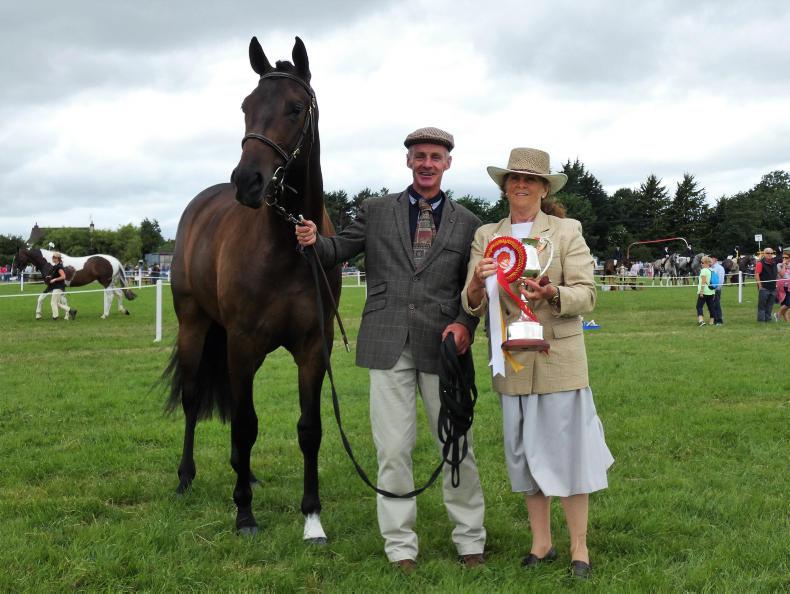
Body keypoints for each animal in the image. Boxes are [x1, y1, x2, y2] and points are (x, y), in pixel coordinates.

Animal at [164, 36, 340, 541]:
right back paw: (186, 478)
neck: (286, 245)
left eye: (295, 108)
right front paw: (243, 513)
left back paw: (247, 472)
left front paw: (312, 515)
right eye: (246, 106)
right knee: (192, 399)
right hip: (195, 326)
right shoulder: (242, 345)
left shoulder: (313, 349)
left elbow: (309, 428)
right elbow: (245, 424)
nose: (248, 181)